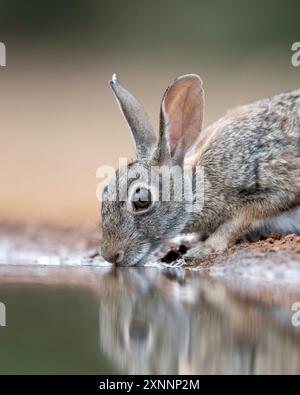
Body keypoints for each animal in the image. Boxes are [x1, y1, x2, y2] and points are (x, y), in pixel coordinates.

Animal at [101, 72, 300, 268]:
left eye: (142, 199)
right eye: (104, 191)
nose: (110, 256)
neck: (199, 183)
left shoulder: (272, 186)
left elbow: (240, 221)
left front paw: (203, 249)